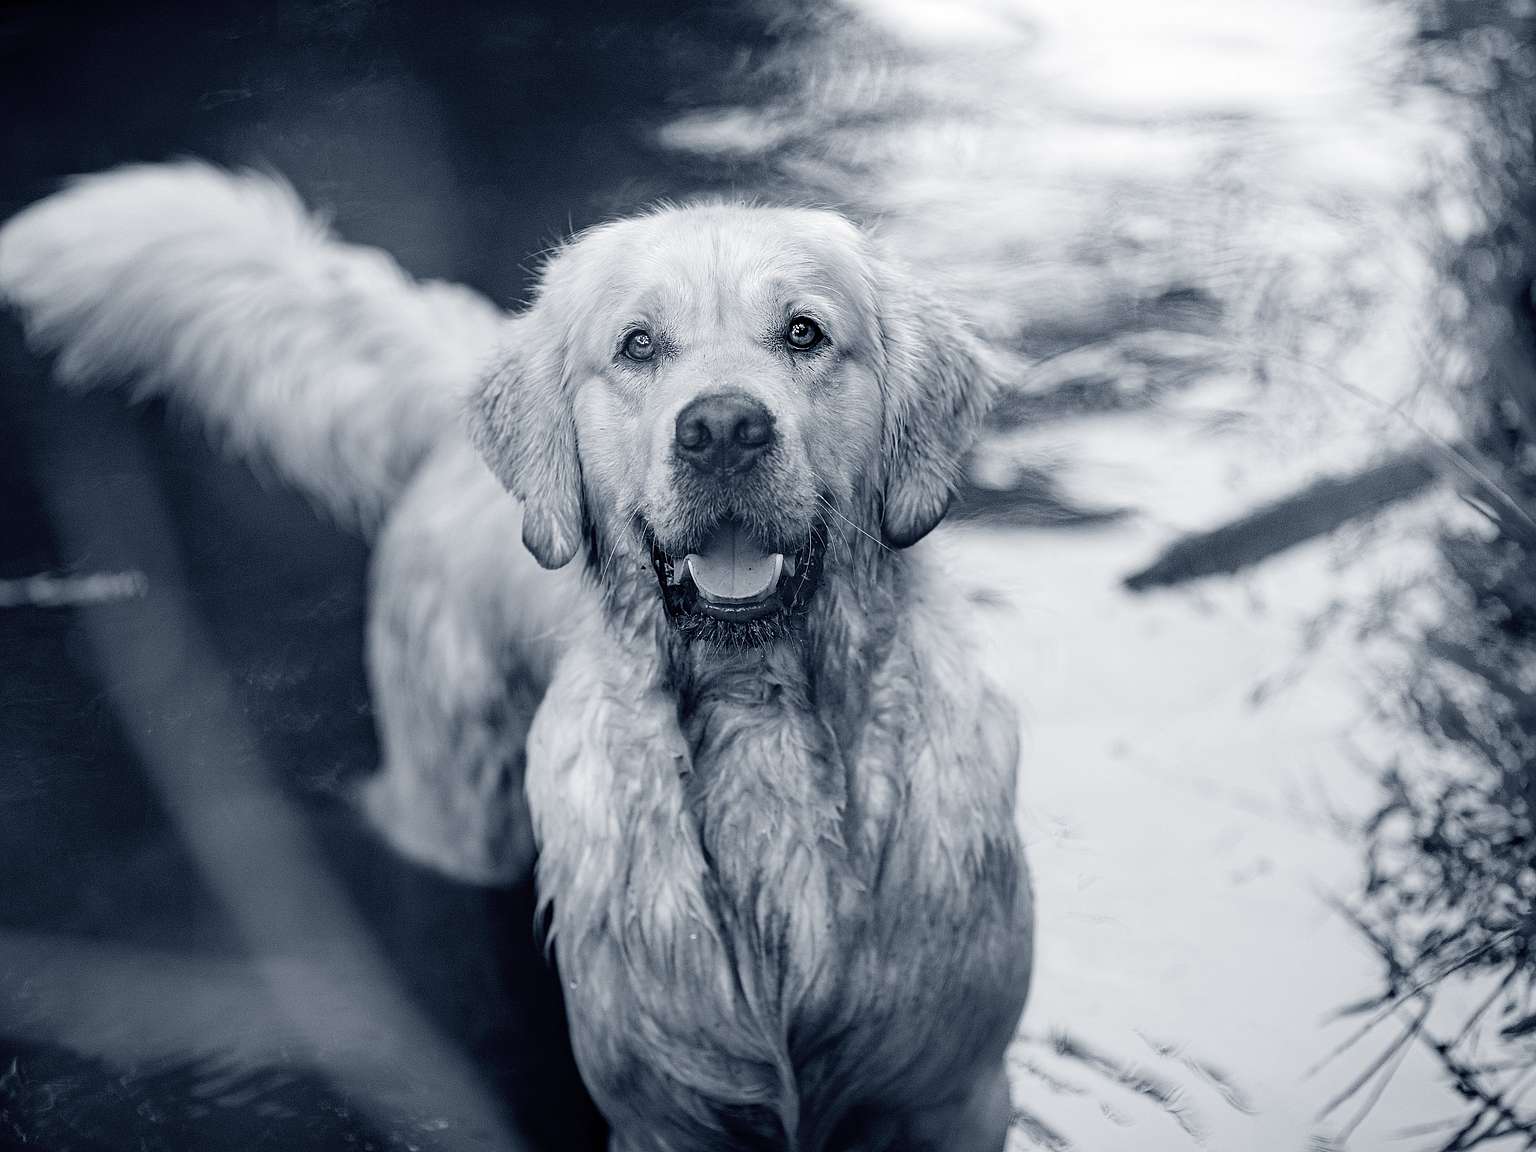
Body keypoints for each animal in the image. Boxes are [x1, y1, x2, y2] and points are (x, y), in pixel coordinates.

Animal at [3, 164, 1032, 1152]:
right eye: (638, 346)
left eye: (805, 333)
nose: (723, 429)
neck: (760, 711)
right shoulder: (662, 1111)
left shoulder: (952, 1094)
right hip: (455, 811)